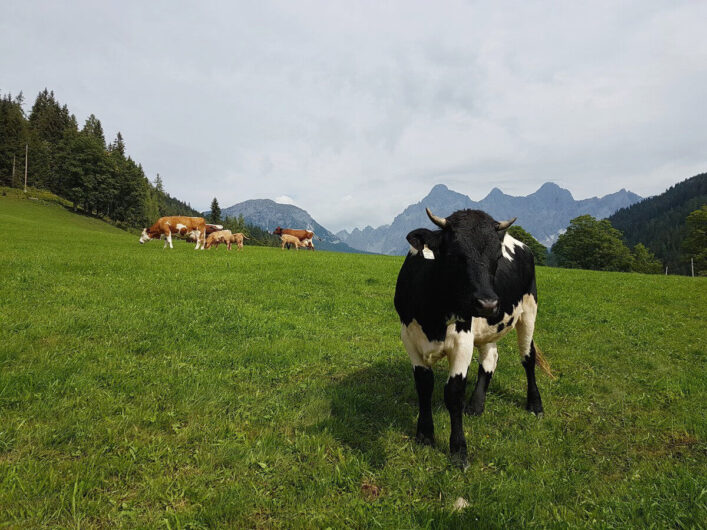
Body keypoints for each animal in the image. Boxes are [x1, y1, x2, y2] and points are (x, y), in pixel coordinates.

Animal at [392, 206, 552, 466]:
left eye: (497, 258)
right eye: (456, 255)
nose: (488, 304)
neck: (434, 315)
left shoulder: (462, 340)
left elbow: (453, 393)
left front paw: (458, 450)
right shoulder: (409, 337)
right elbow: (424, 386)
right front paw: (425, 435)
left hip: (529, 309)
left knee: (528, 357)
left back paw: (535, 404)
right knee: (490, 358)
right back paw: (476, 405)